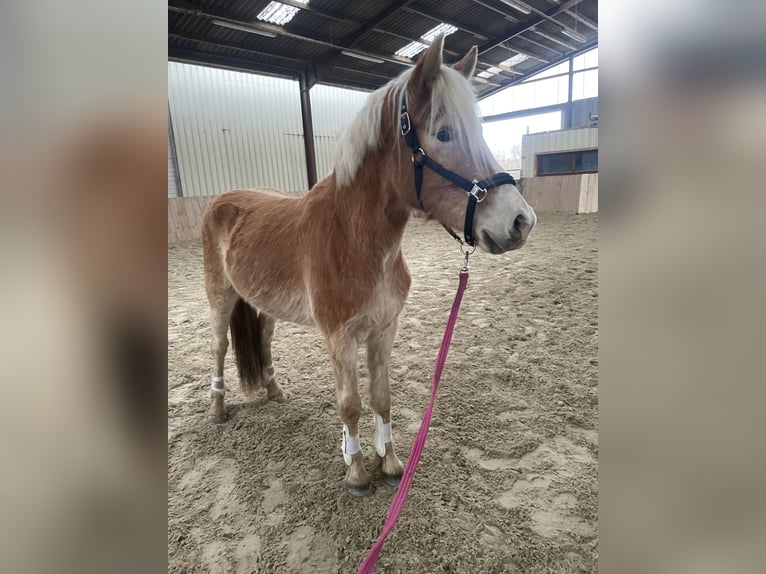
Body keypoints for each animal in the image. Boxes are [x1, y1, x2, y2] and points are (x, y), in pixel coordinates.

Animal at [201, 34, 536, 496]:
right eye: (444, 133)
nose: (521, 221)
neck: (354, 239)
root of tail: (222, 200)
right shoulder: (340, 339)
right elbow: (351, 405)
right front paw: (357, 472)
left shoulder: (383, 330)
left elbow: (382, 398)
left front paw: (390, 463)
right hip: (220, 296)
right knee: (219, 346)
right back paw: (217, 409)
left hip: (262, 305)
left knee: (264, 341)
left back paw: (274, 389)